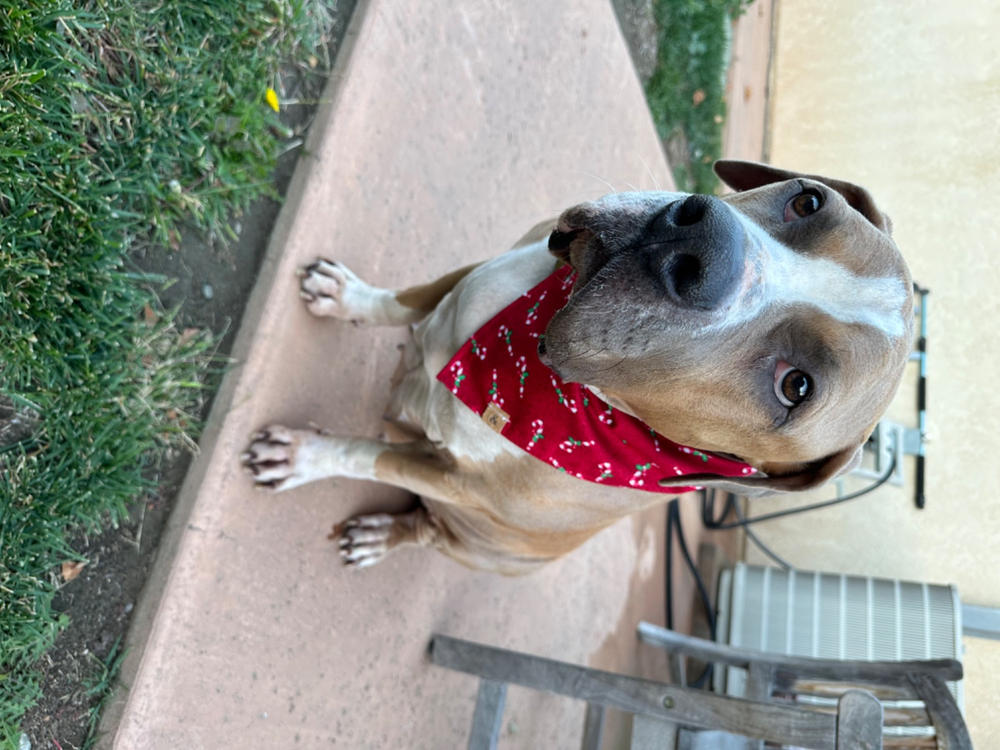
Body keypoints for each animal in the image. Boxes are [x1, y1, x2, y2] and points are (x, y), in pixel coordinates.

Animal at [242, 162, 916, 576]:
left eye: (795, 386)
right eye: (807, 200)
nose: (702, 243)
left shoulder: (462, 484)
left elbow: (368, 456)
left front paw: (302, 456)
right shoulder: (471, 273)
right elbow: (404, 299)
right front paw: (348, 297)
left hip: (481, 540)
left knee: (426, 526)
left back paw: (382, 536)